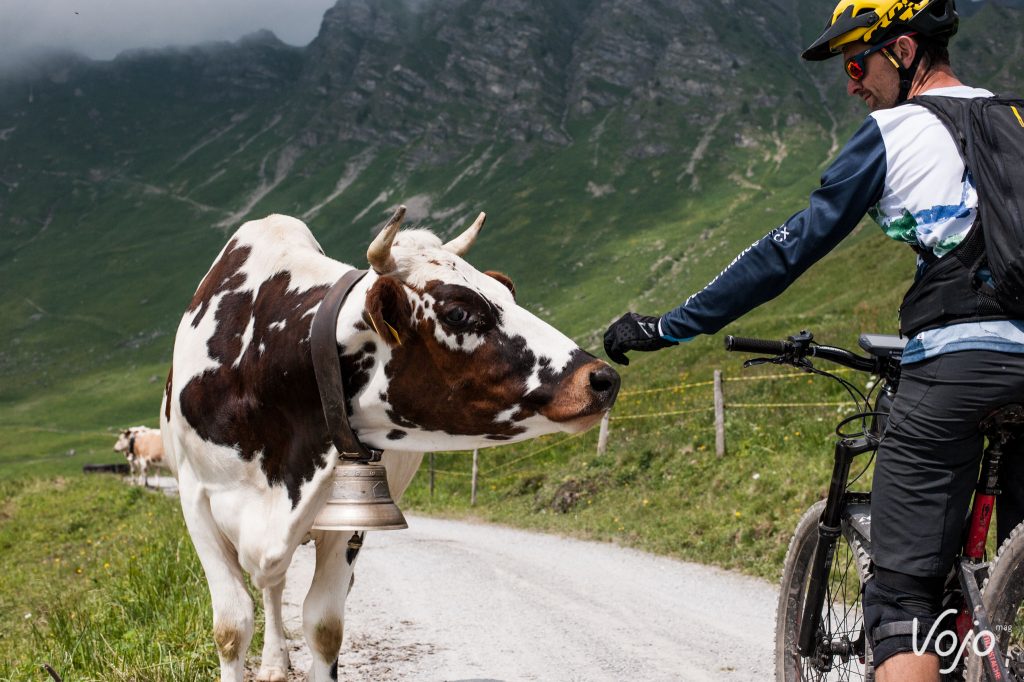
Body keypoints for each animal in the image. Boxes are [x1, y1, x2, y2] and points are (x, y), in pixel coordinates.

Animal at [163, 206, 618, 679]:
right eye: (458, 313)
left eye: (507, 294)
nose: (601, 378)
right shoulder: (196, 502)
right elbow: (232, 627)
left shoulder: (347, 515)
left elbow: (324, 627)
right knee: (272, 583)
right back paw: (273, 661)